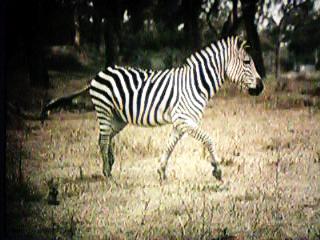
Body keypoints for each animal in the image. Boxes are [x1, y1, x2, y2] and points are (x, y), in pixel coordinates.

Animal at [43, 36, 262, 182]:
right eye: (247, 62)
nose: (260, 87)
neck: (196, 83)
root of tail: (97, 75)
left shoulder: (180, 122)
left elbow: (169, 146)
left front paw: (162, 171)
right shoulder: (184, 119)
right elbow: (208, 139)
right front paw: (217, 170)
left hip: (118, 118)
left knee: (105, 137)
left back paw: (110, 164)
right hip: (104, 110)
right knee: (103, 140)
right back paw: (107, 173)